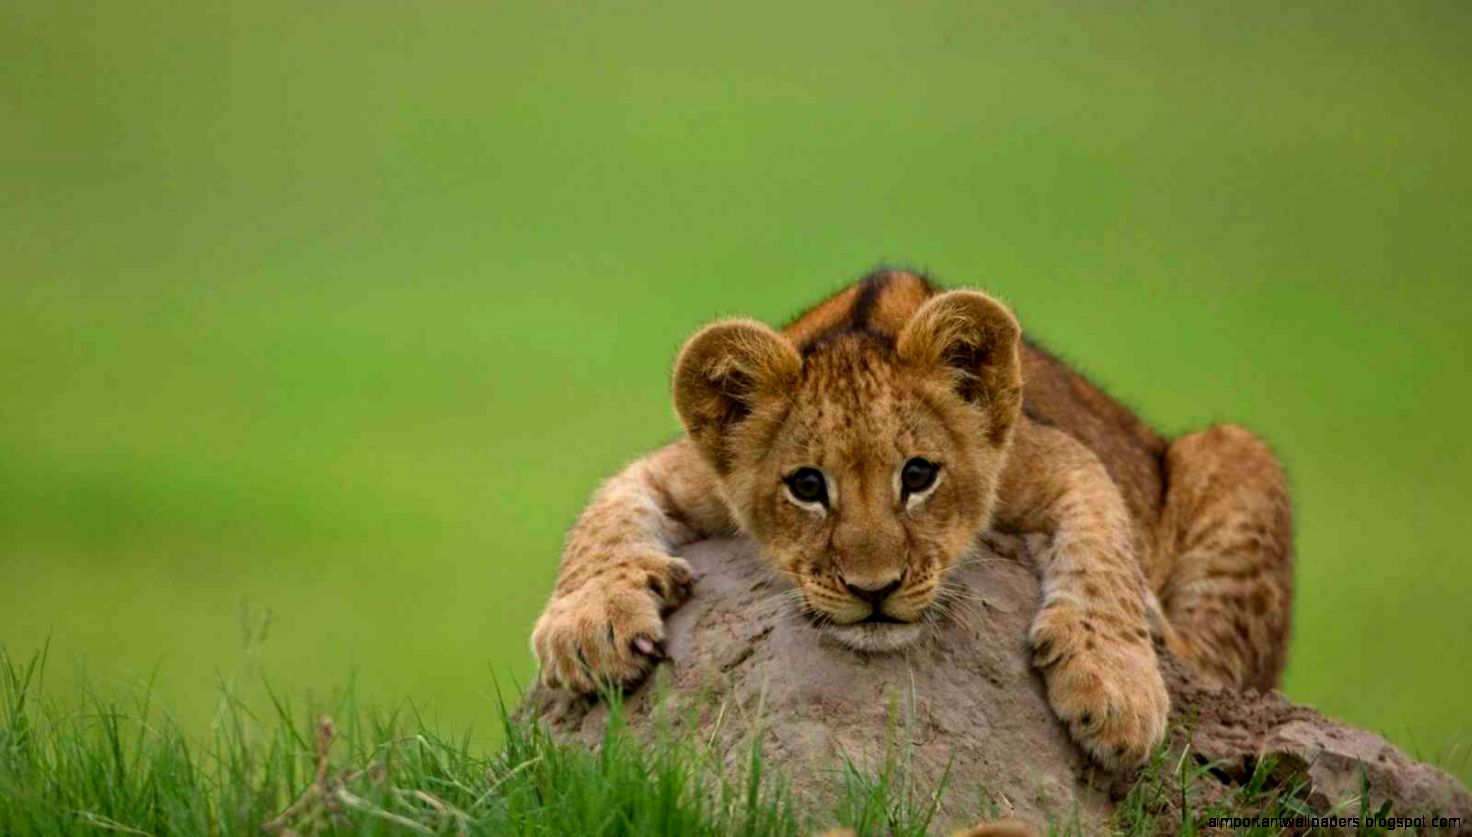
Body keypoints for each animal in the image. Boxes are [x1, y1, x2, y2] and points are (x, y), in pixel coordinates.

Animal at [531, 269, 1293, 768]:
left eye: (920, 475)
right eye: (807, 485)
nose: (875, 590)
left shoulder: (1057, 455)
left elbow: (1104, 547)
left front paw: (1116, 685)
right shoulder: (679, 469)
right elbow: (603, 516)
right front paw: (588, 628)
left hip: (1238, 451)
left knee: (1220, 662)